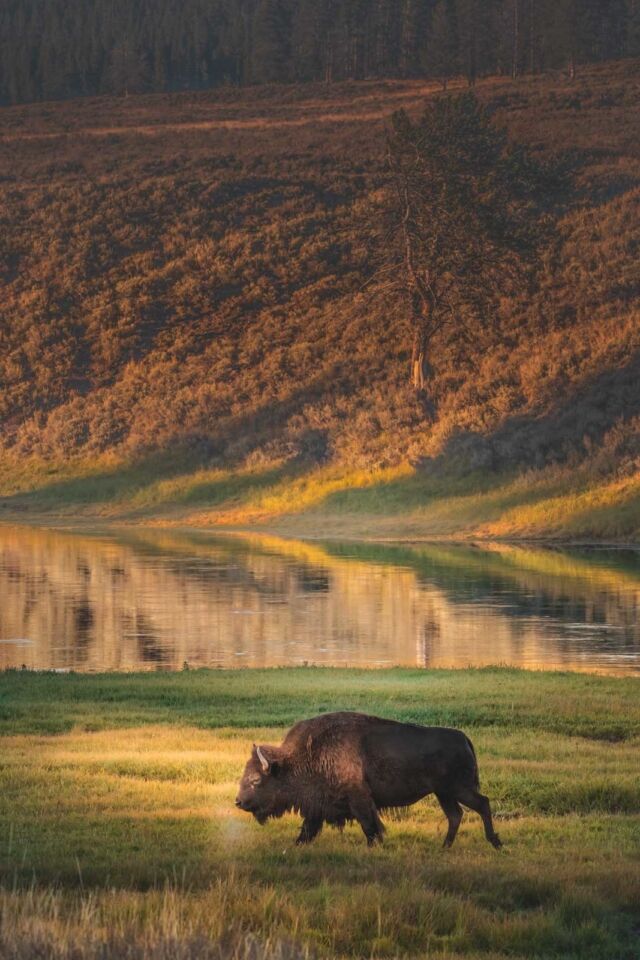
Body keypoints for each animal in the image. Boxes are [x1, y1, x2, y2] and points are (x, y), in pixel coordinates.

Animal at [235, 712, 500, 848]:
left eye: (256, 780)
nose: (238, 801)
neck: (303, 757)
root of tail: (463, 738)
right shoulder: (317, 807)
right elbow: (308, 830)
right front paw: (295, 845)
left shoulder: (359, 800)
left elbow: (369, 826)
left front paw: (375, 846)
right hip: (443, 793)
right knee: (456, 815)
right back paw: (445, 847)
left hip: (458, 789)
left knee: (482, 804)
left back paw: (495, 842)